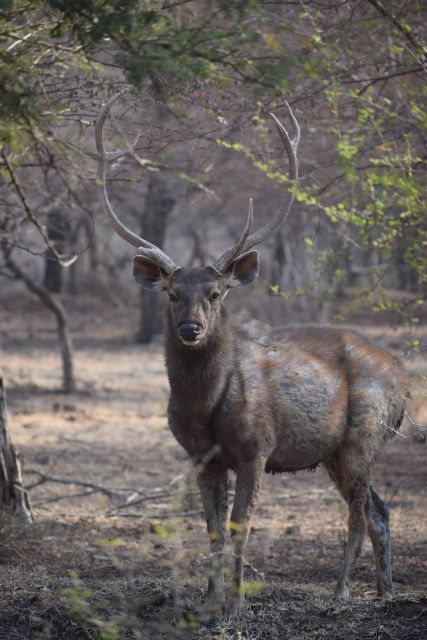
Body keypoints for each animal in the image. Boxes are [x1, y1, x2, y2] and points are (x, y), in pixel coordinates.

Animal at [97, 95, 408, 616]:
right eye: (172, 293)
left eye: (217, 293)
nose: (190, 329)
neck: (206, 407)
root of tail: (405, 381)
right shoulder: (200, 456)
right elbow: (212, 528)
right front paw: (208, 602)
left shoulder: (256, 448)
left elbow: (241, 525)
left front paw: (236, 602)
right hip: (334, 451)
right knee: (378, 511)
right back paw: (384, 593)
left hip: (365, 435)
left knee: (357, 512)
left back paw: (342, 592)